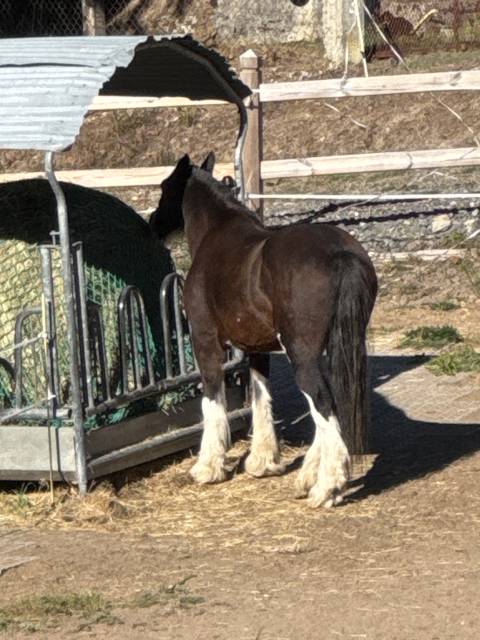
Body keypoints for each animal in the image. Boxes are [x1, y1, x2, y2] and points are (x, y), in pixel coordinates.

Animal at [150, 153, 378, 508]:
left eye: (164, 186)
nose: (152, 224)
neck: (217, 234)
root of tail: (340, 253)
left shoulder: (205, 342)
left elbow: (211, 399)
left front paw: (208, 468)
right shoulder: (256, 347)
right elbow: (261, 396)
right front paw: (263, 462)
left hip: (303, 356)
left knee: (323, 404)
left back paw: (327, 487)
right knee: (331, 404)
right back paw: (308, 478)